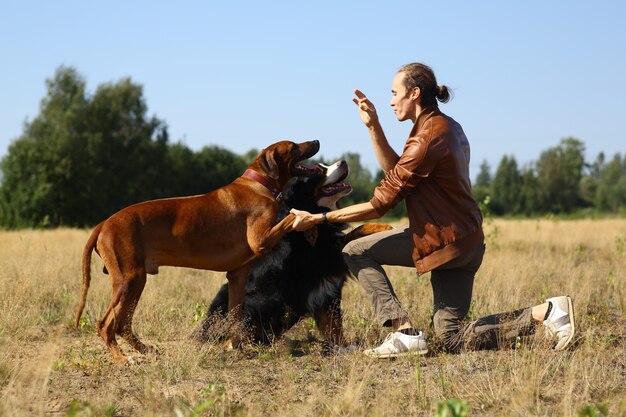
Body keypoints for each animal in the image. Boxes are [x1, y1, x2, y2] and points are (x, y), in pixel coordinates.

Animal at [76, 139, 322, 360]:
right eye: (293, 147)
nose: (317, 141)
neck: (260, 184)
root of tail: (104, 223)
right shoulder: (260, 240)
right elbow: (290, 216)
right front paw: (308, 224)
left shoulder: (237, 275)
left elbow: (234, 316)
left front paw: (235, 348)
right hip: (130, 279)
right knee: (106, 325)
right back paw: (121, 359)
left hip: (135, 281)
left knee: (122, 325)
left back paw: (144, 349)